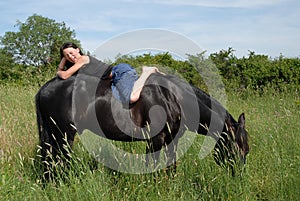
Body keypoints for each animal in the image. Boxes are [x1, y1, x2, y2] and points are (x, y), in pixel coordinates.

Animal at [35, 57, 248, 178]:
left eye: (247, 149)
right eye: (235, 146)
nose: (239, 176)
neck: (174, 97)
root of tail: (44, 89)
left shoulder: (172, 140)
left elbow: (171, 166)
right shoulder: (156, 139)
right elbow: (151, 165)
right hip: (63, 135)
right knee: (60, 160)